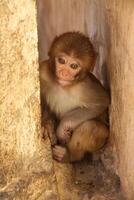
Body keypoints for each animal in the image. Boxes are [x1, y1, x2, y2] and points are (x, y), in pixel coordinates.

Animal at [39, 31, 109, 162]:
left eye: (73, 66)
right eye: (61, 60)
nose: (64, 73)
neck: (63, 86)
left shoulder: (85, 87)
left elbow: (102, 102)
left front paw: (62, 127)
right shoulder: (43, 71)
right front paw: (46, 124)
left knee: (90, 127)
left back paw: (68, 156)